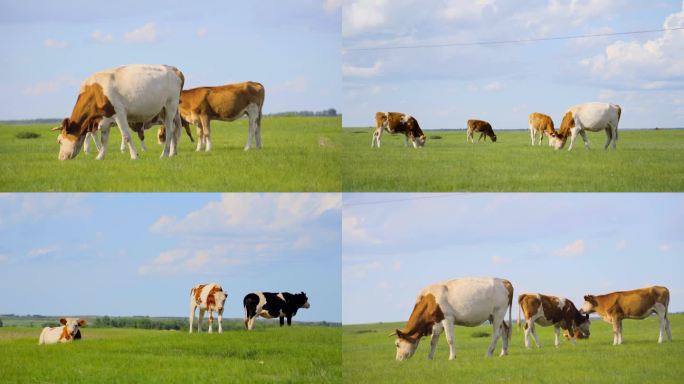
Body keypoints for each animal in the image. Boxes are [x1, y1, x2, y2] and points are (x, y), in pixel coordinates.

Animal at [54, 63, 184, 160]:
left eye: (59, 141)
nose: (60, 158)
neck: (97, 91)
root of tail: (173, 69)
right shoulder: (105, 118)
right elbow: (104, 139)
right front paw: (100, 156)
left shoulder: (119, 113)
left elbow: (126, 135)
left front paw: (134, 155)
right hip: (166, 110)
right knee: (174, 130)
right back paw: (172, 153)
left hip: (170, 106)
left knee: (170, 130)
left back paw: (165, 154)